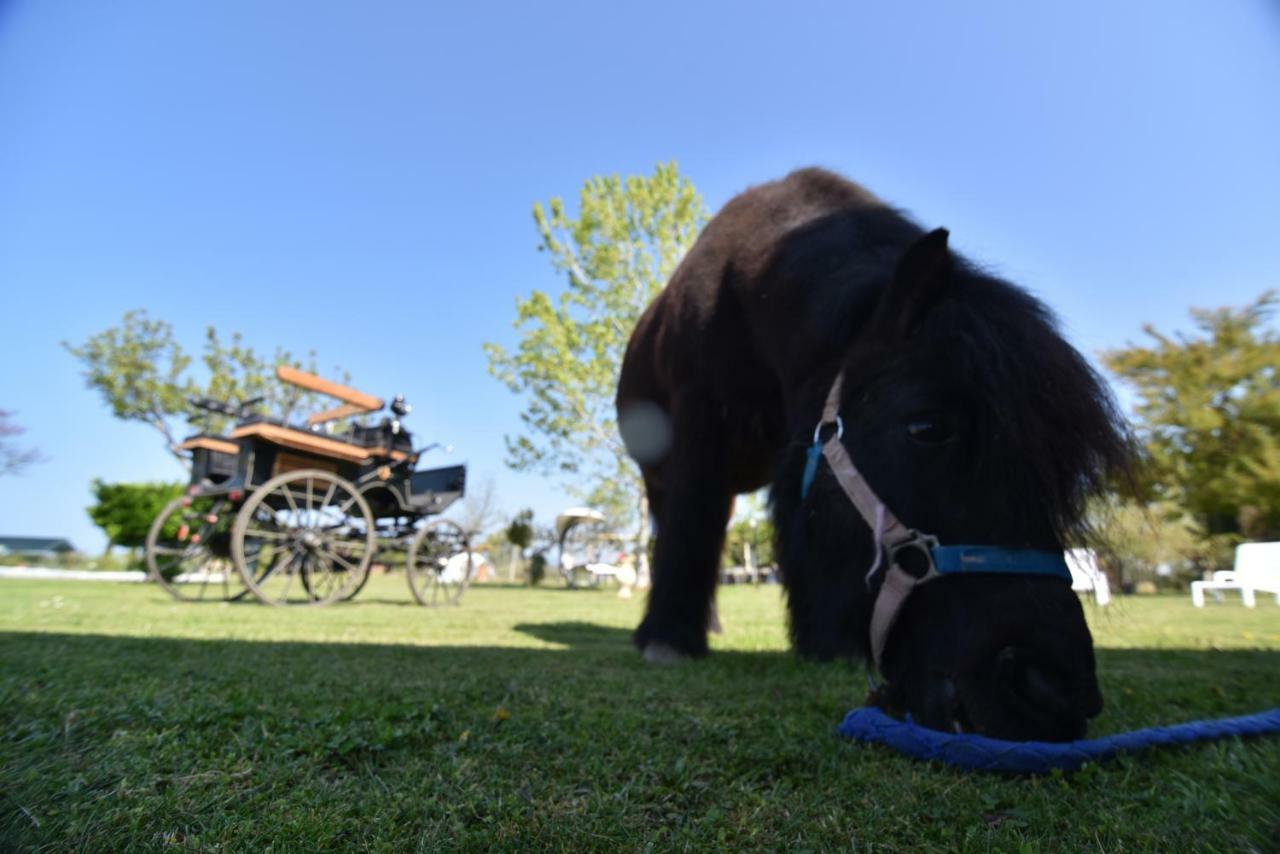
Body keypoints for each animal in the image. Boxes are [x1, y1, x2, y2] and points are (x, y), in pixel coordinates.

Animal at [619, 166, 1131, 742]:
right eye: (927, 428)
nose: (1057, 689)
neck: (749, 294)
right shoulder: (697, 426)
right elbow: (691, 525)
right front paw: (668, 639)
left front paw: (823, 645)